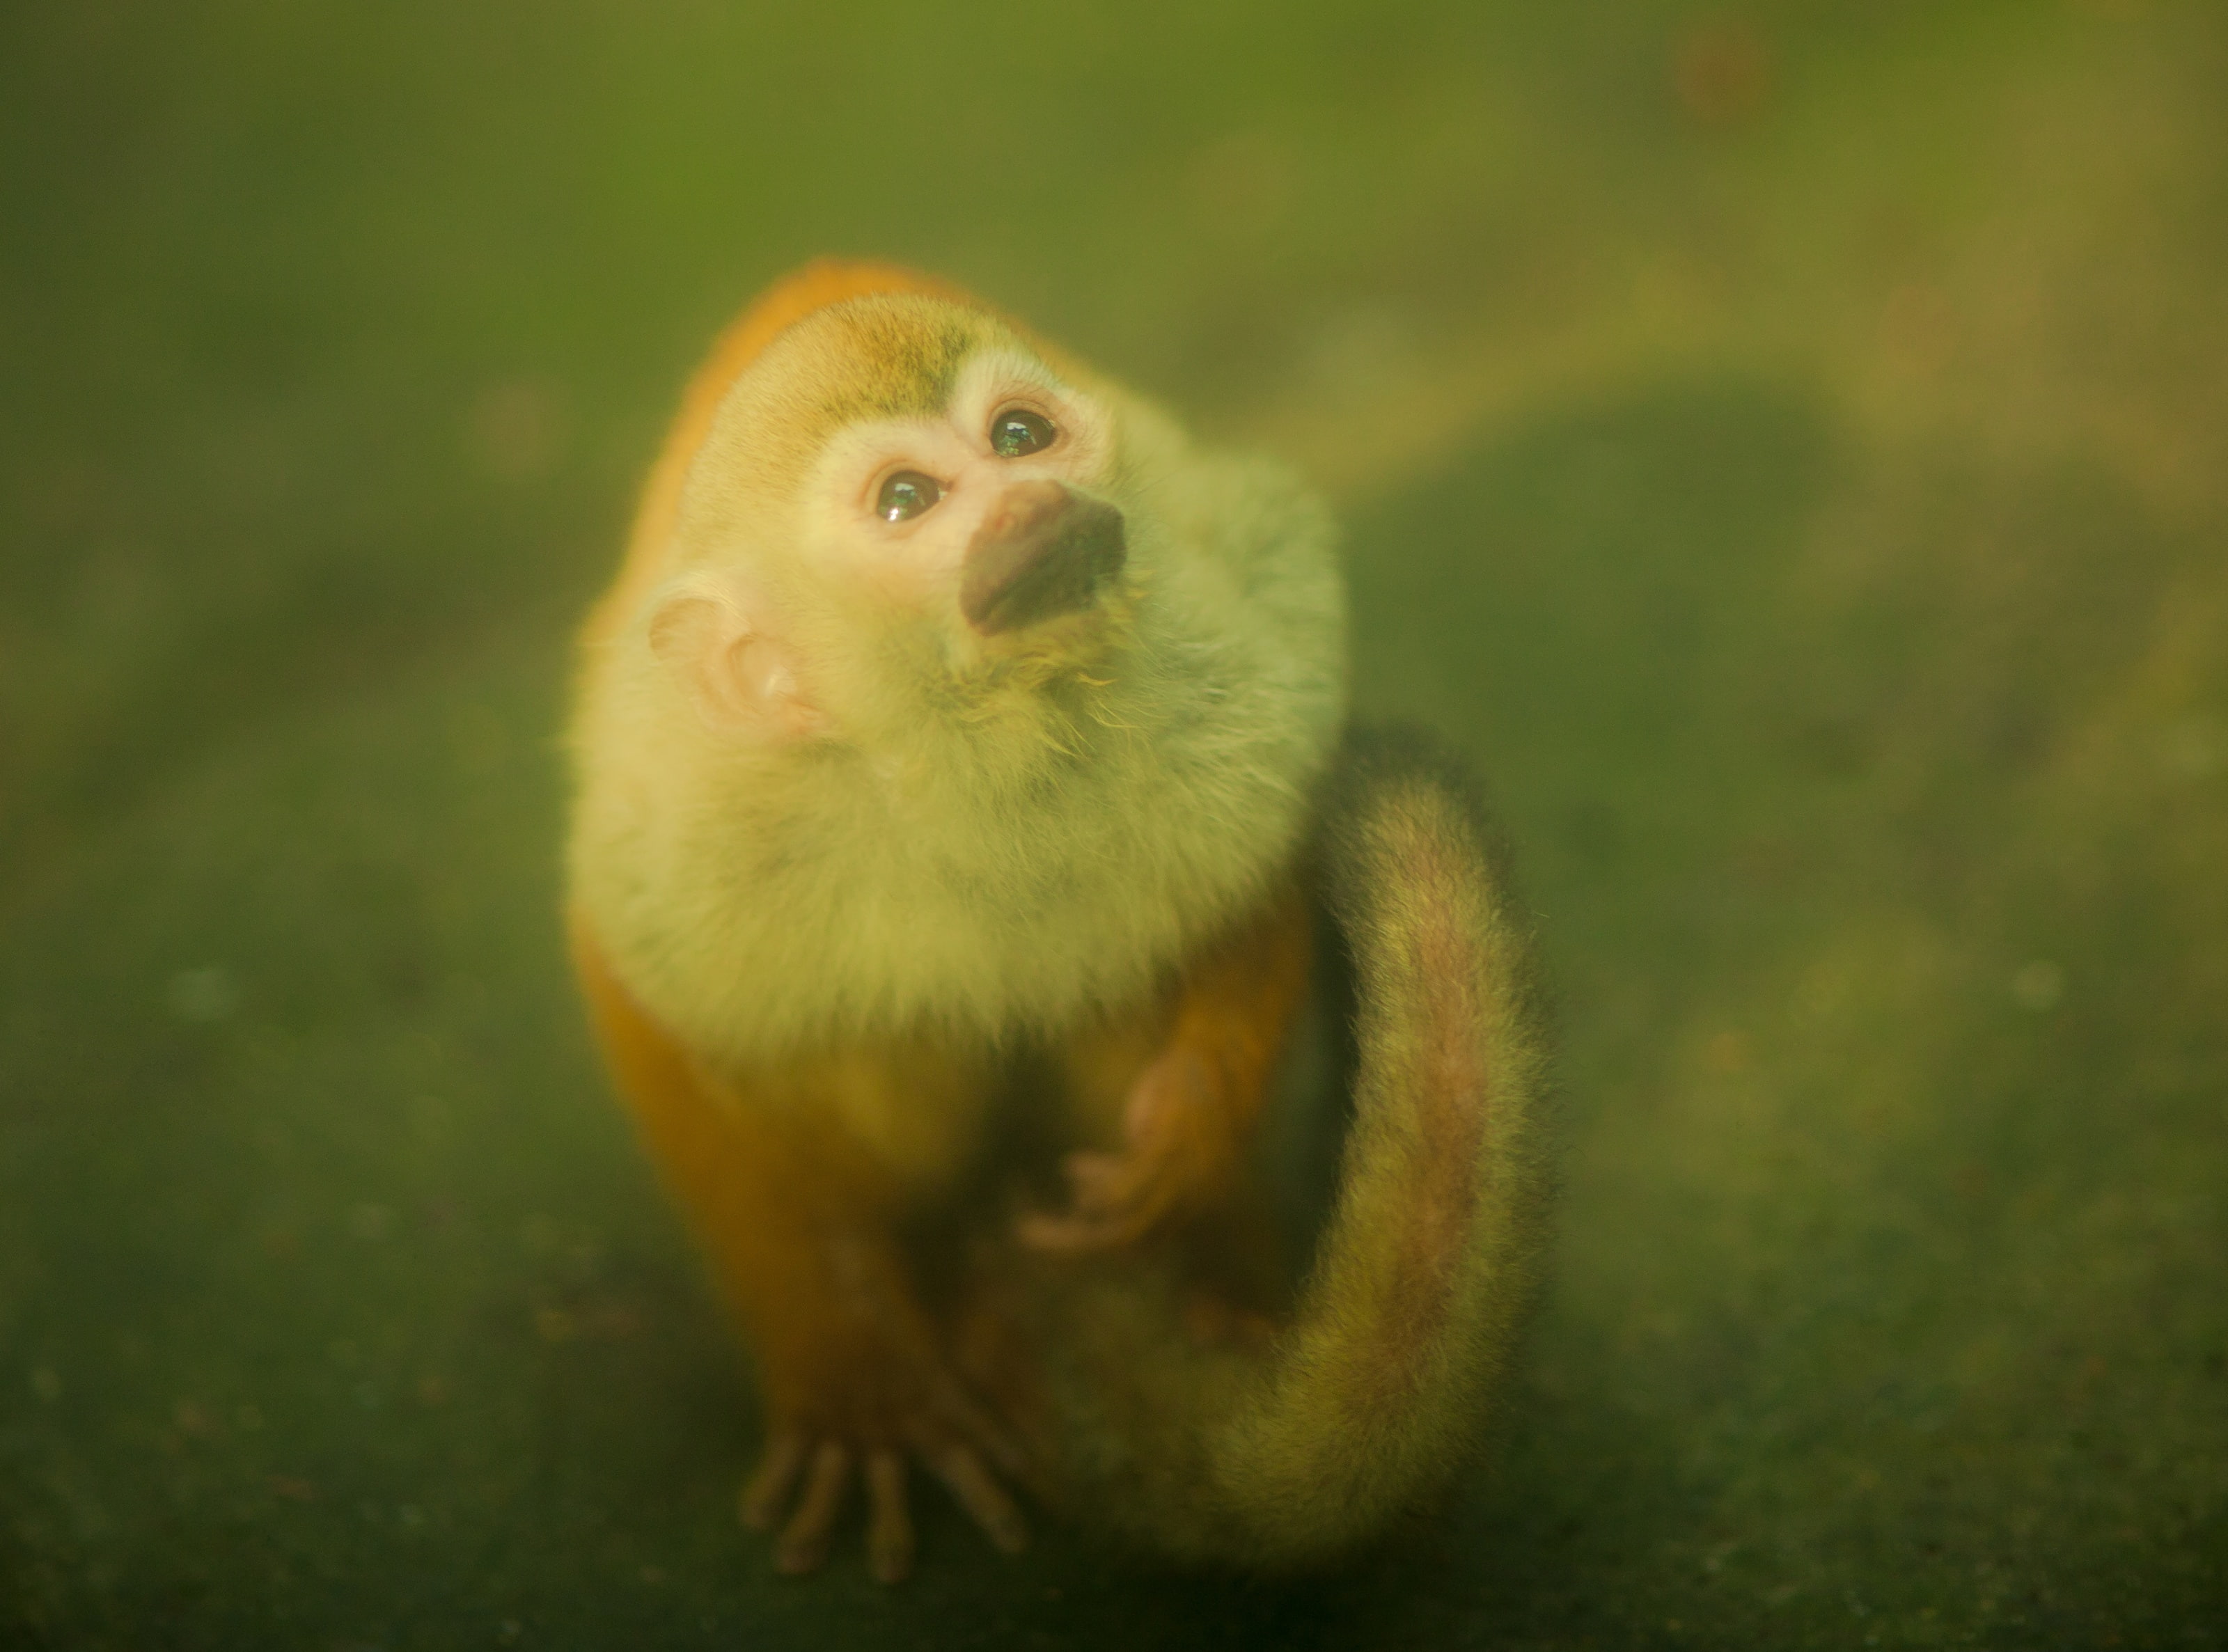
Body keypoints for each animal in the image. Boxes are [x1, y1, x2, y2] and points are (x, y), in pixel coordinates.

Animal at [564, 260, 1554, 1582]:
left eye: (1019, 436)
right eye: (907, 502)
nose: (1037, 496)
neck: (978, 738)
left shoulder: (1211, 635)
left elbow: (1264, 833)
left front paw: (1189, 1134)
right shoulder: (707, 820)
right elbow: (655, 1004)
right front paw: (852, 1368)